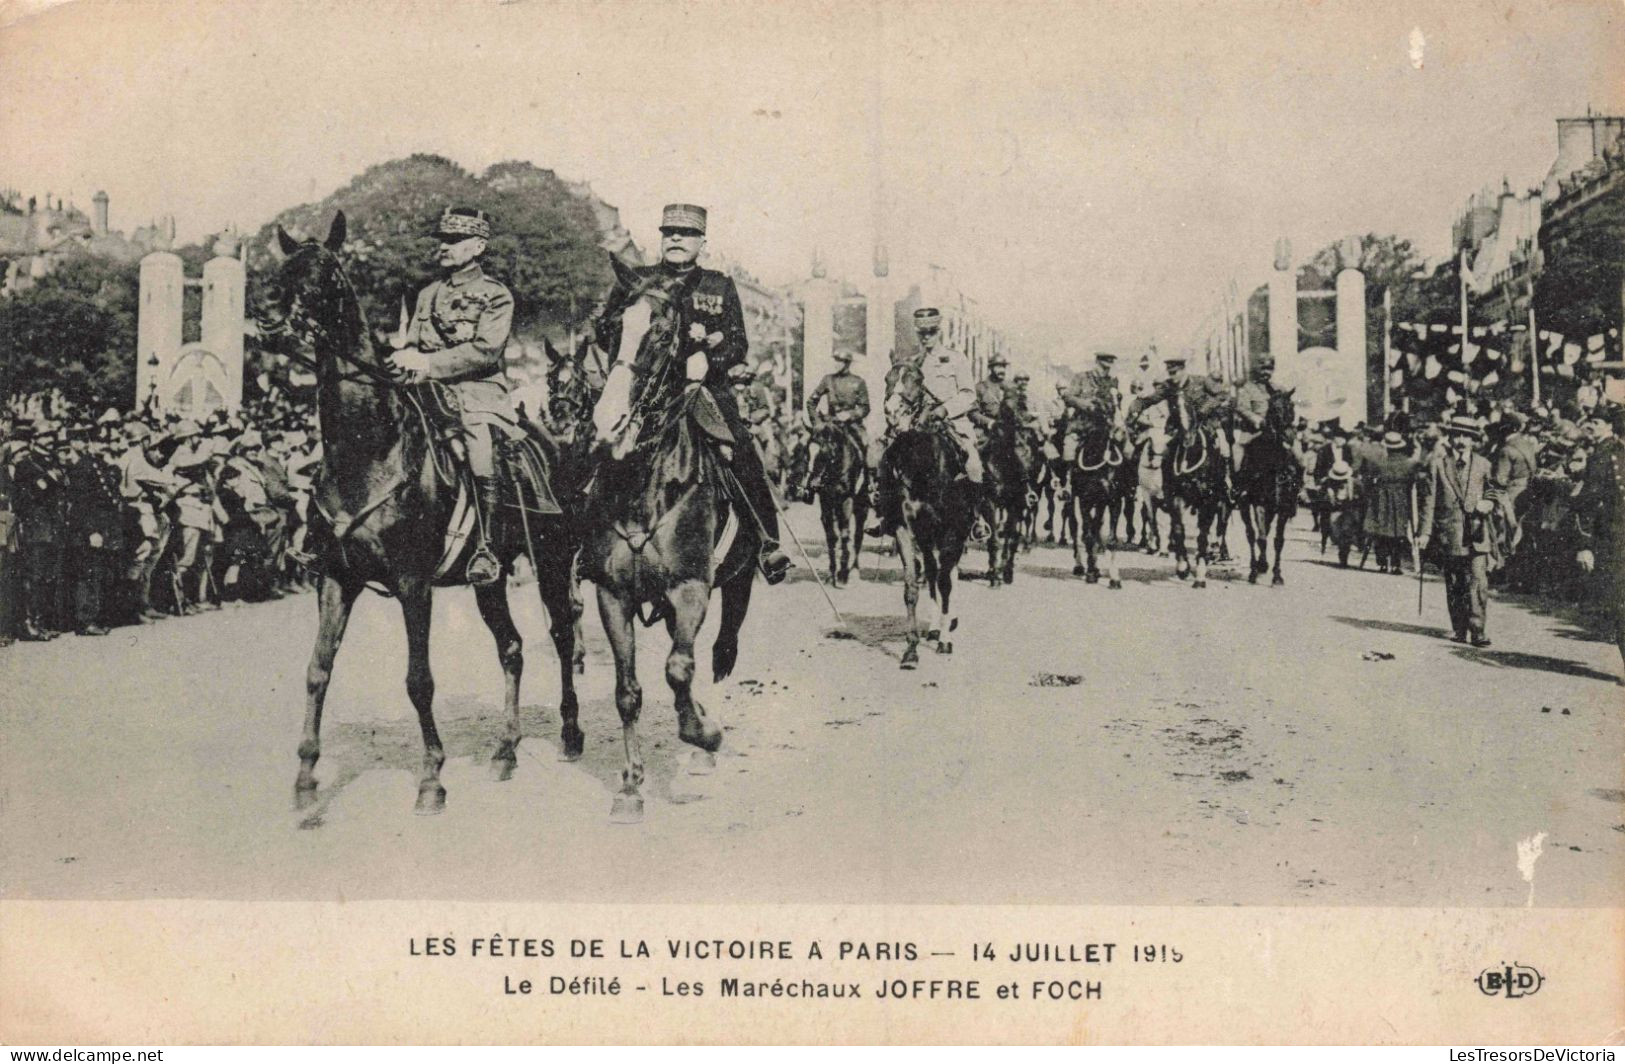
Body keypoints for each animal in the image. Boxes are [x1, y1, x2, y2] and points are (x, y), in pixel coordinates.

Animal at [256, 214, 581, 815]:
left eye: (325, 271)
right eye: (283, 268)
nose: (267, 315)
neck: (368, 449)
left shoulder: (413, 584)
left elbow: (418, 680)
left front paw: (432, 779)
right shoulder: (334, 578)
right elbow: (317, 671)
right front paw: (307, 780)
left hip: (550, 562)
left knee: (562, 635)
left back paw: (571, 735)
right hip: (490, 579)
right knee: (512, 648)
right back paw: (506, 750)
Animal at [588, 258, 757, 825]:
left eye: (662, 334)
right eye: (609, 328)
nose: (608, 423)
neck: (645, 480)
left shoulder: (689, 587)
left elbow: (679, 669)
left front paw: (703, 734)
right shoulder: (612, 594)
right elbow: (628, 692)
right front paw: (630, 787)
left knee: (718, 638)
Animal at [809, 419, 871, 588]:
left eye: (822, 453)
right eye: (808, 451)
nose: (813, 484)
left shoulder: (846, 501)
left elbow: (845, 534)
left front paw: (843, 574)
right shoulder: (826, 501)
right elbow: (831, 536)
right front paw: (832, 574)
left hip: (861, 507)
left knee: (857, 536)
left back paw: (854, 570)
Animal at [884, 363, 968, 666]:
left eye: (916, 380)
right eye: (887, 378)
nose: (892, 410)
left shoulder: (951, 530)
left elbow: (945, 583)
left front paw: (946, 640)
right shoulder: (905, 529)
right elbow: (912, 585)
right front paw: (911, 649)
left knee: (948, 574)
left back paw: (947, 625)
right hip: (927, 537)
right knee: (932, 572)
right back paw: (934, 627)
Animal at [1235, 391, 1300, 588]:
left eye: (1291, 407)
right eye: (1273, 407)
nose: (1288, 436)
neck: (1274, 465)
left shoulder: (1284, 508)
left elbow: (1278, 541)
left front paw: (1277, 576)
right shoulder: (1260, 505)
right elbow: (1261, 538)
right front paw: (1260, 566)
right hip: (1244, 504)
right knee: (1251, 534)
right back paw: (1255, 568)